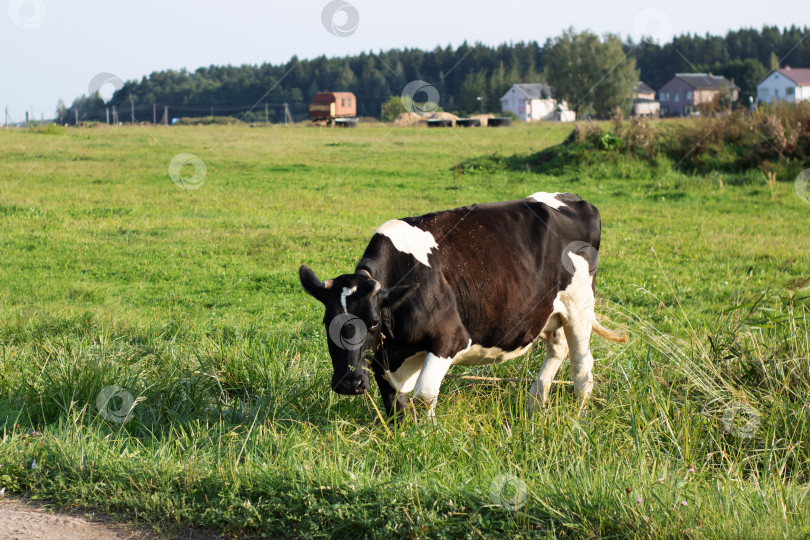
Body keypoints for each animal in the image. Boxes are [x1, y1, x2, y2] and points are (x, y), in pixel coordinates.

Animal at [300, 191, 620, 422]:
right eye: (327, 323)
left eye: (374, 322)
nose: (349, 383)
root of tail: (574, 199)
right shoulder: (381, 360)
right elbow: (394, 404)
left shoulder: (450, 338)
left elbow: (424, 395)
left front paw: (426, 436)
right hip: (548, 312)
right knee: (557, 349)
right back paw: (534, 408)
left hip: (579, 306)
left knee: (582, 368)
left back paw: (579, 419)